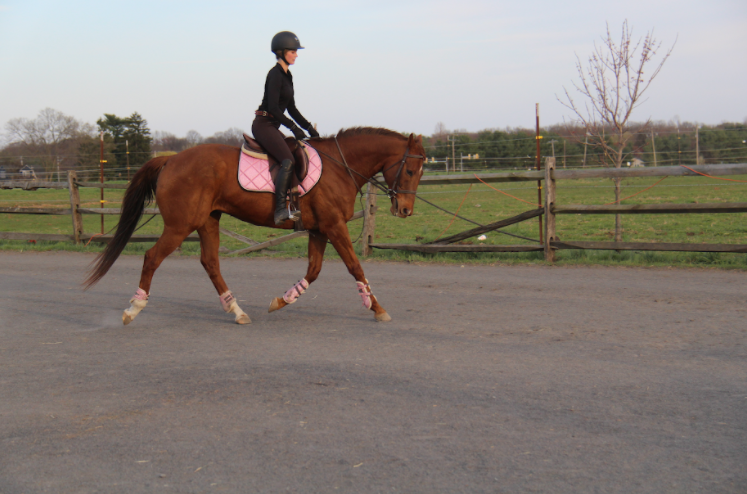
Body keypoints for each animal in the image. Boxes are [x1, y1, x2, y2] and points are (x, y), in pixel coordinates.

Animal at [84, 128, 426, 324]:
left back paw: (236, 311)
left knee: (210, 262)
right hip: (181, 225)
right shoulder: (334, 226)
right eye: (410, 170)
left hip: (207, 221)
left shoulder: (319, 229)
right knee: (152, 257)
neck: (340, 166)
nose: (406, 210)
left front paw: (282, 300)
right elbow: (355, 267)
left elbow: (313, 271)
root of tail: (170, 159)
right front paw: (376, 307)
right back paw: (134, 308)